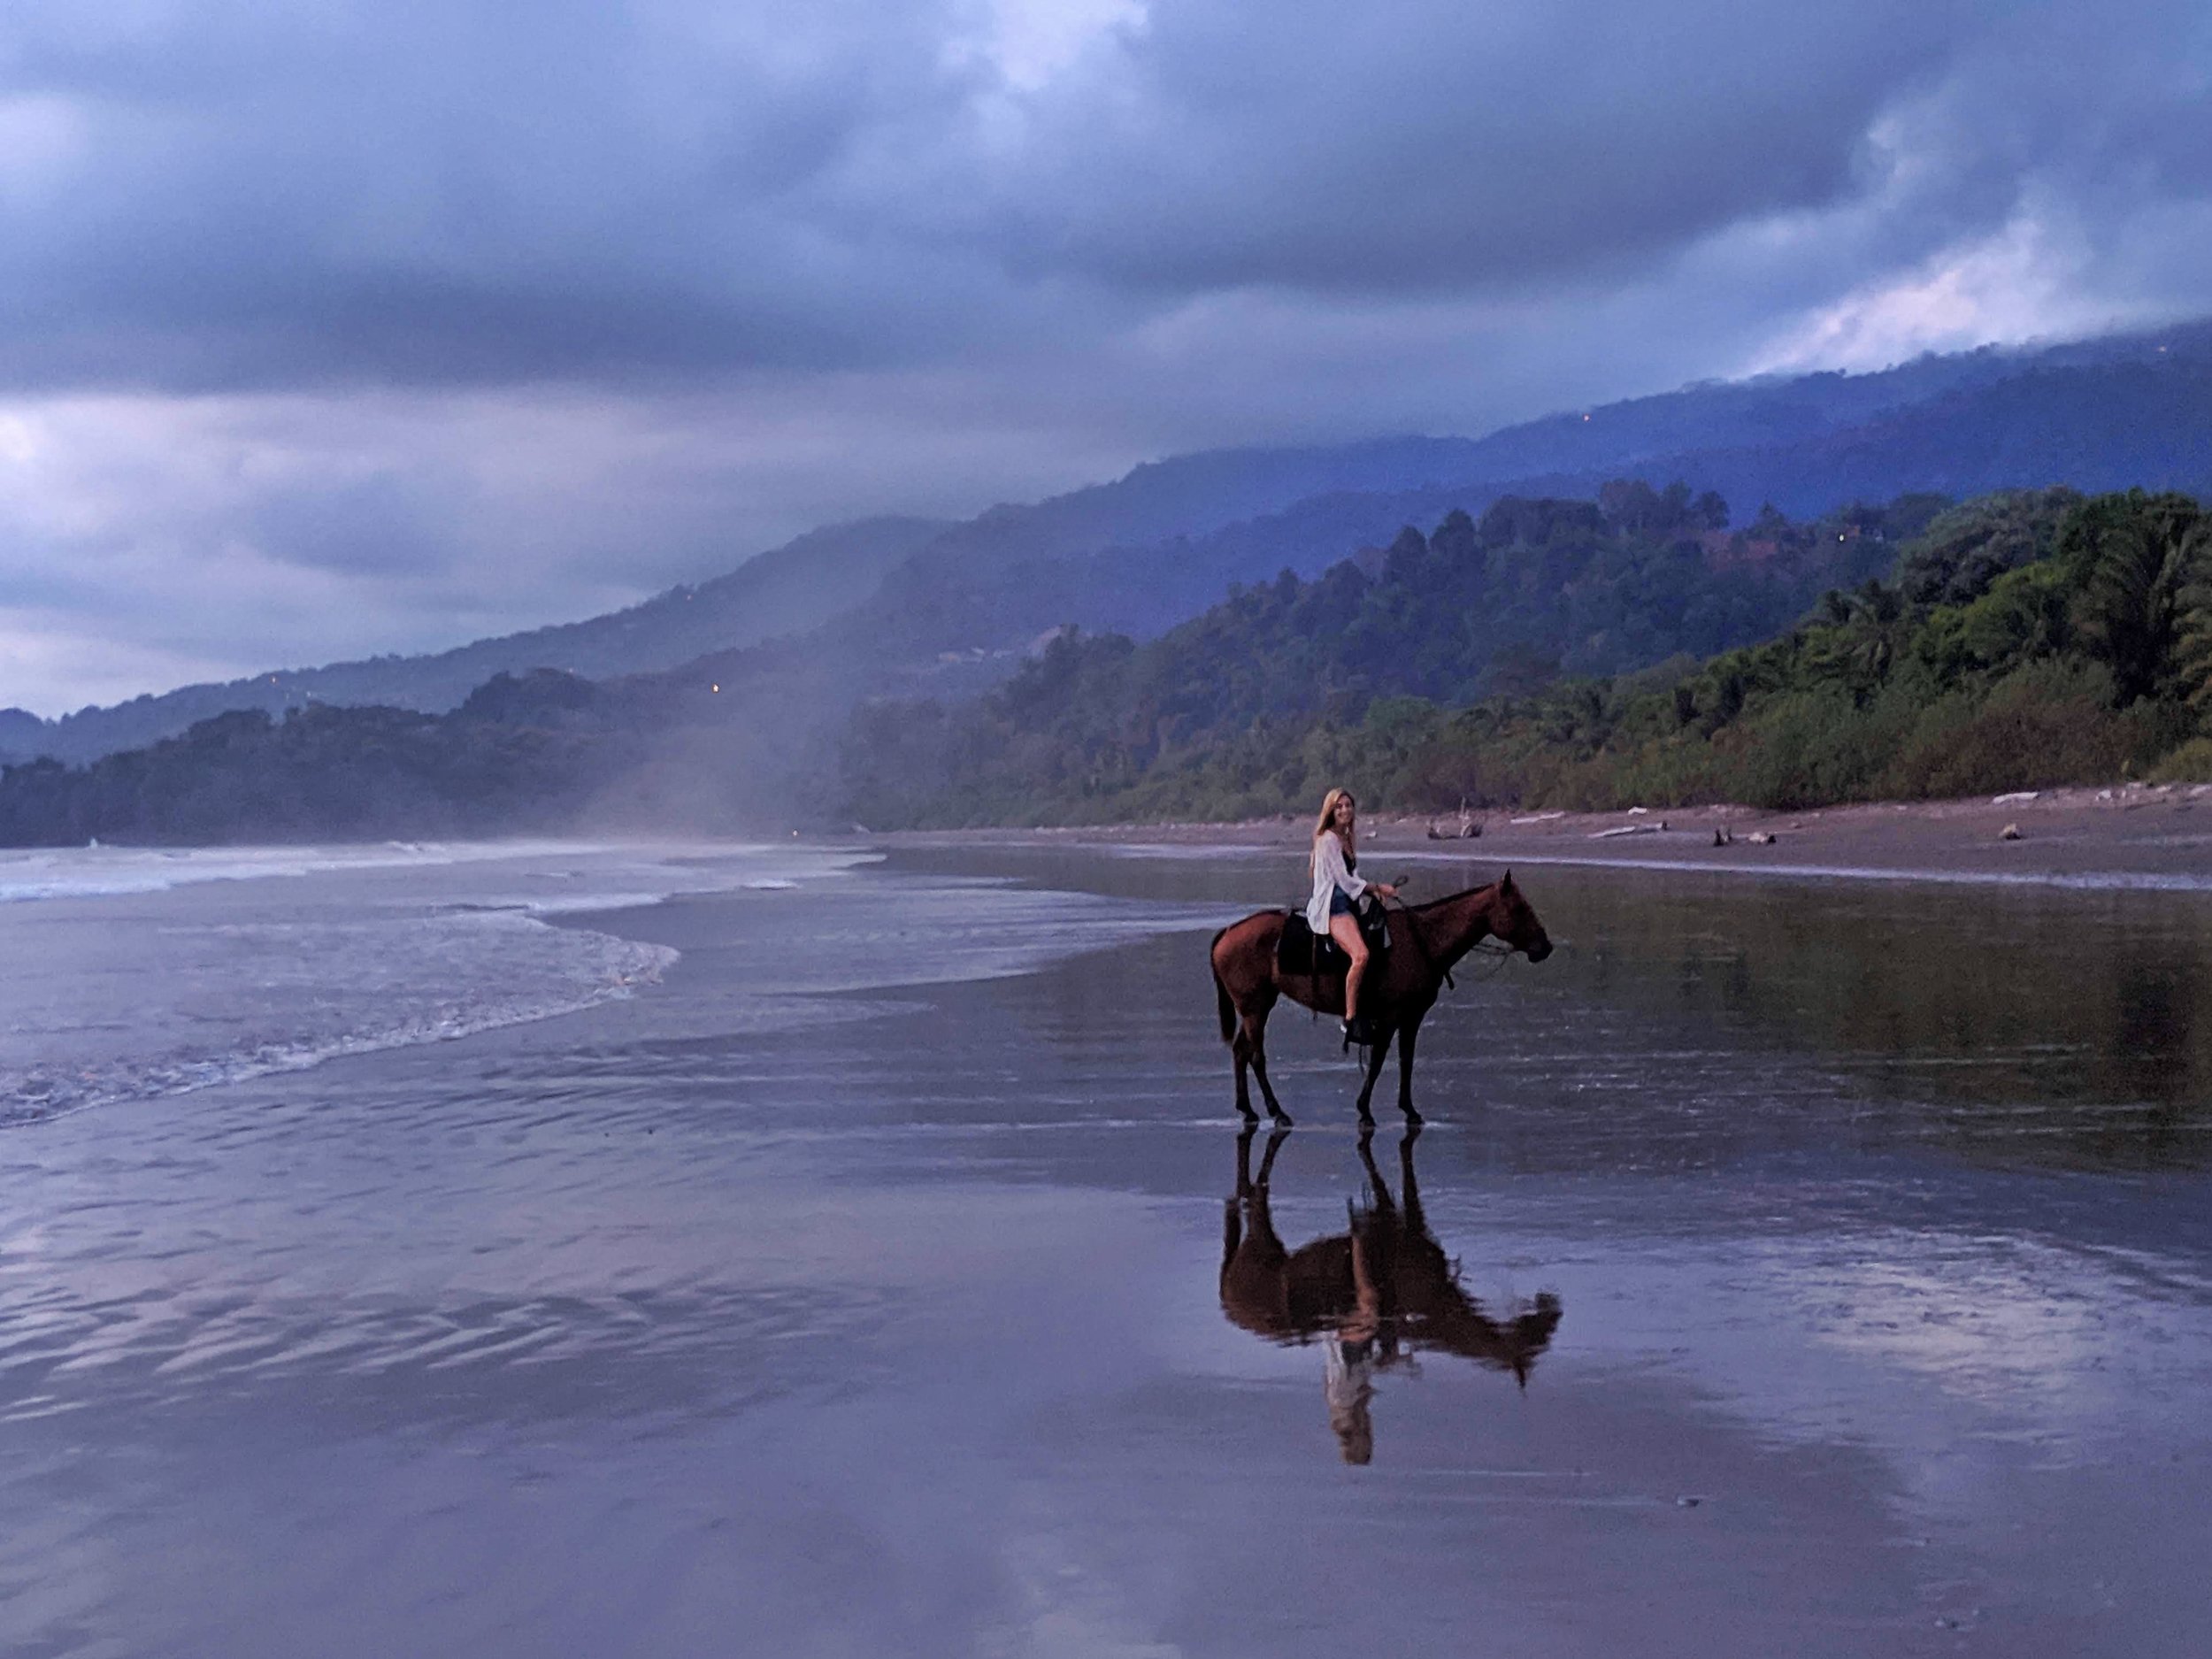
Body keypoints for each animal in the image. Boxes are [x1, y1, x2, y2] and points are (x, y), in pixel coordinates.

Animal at [1212, 872, 1557, 1133]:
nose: (1545, 947)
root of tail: (1227, 932)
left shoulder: (1411, 1018)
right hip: (1255, 1007)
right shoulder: (1392, 1017)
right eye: (1519, 909)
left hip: (1256, 1006)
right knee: (1256, 1056)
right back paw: (1277, 1113)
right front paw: (1365, 1111)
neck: (1424, 940)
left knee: (1241, 1051)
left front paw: (1410, 1111)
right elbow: (1378, 1061)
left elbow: (1406, 1060)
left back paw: (1248, 1110)